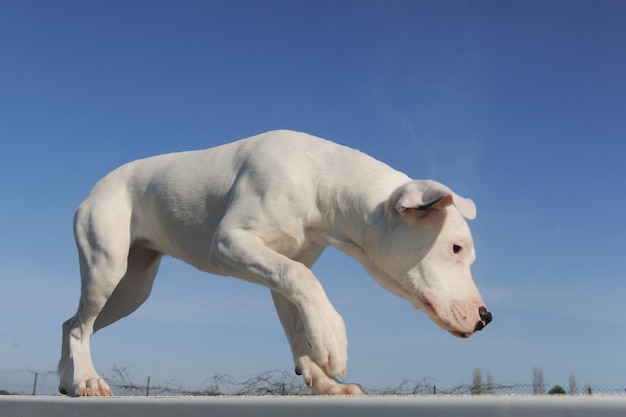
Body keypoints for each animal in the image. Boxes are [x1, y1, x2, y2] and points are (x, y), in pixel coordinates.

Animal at [57, 128, 488, 394]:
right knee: (81, 327)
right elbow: (305, 282)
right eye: (456, 248)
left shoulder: (280, 273)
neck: (319, 181)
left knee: (72, 323)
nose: (486, 318)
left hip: (132, 290)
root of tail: (92, 190)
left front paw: (325, 382)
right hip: (107, 269)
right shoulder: (230, 244)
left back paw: (69, 380)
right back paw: (89, 381)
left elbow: (299, 321)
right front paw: (334, 339)